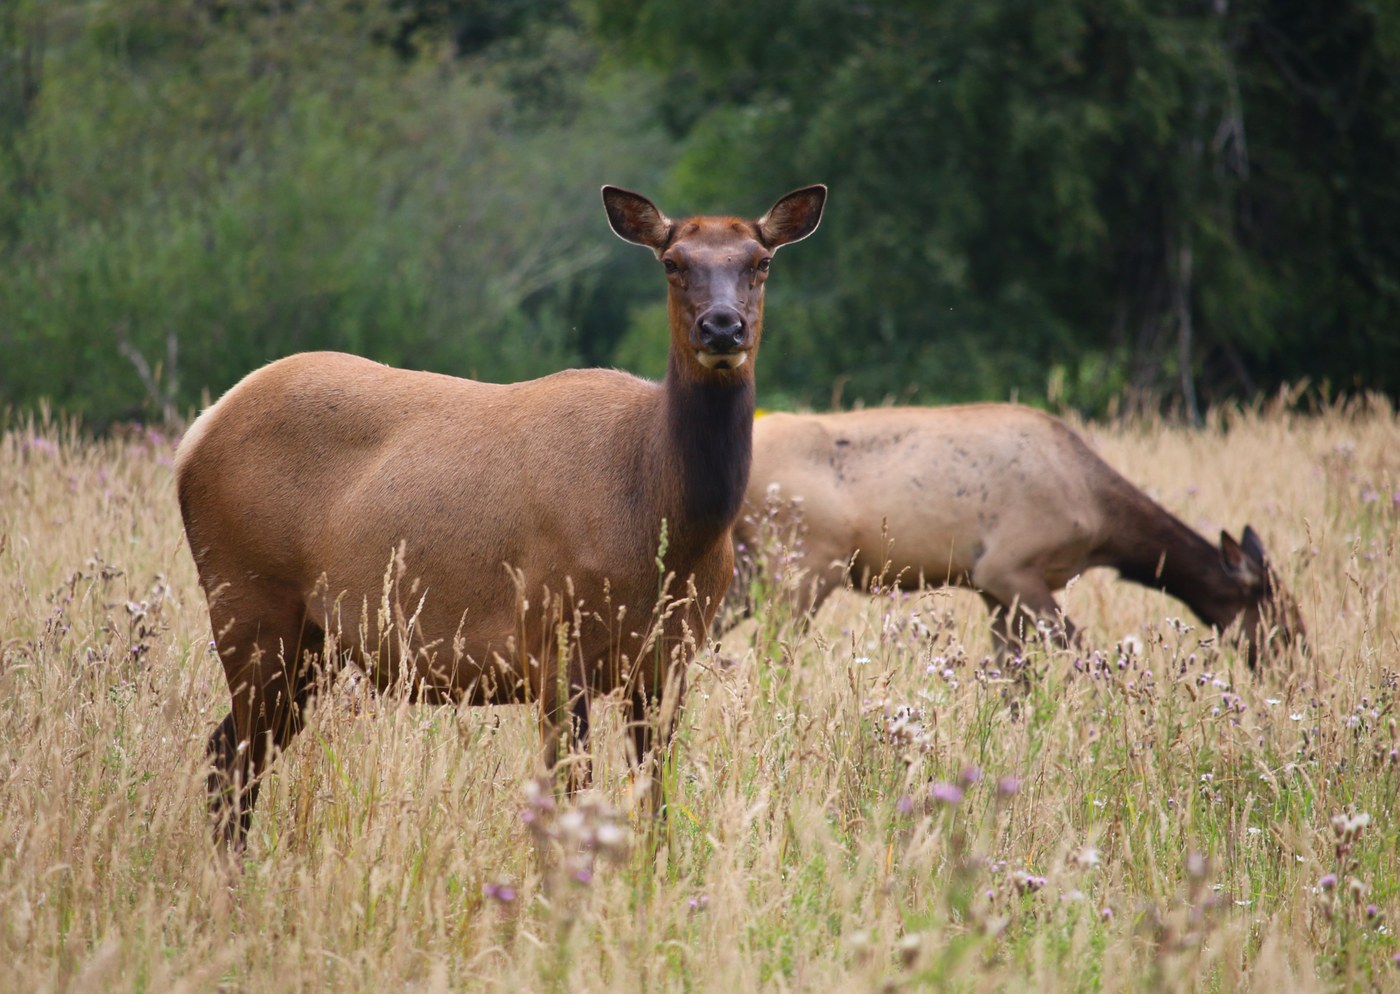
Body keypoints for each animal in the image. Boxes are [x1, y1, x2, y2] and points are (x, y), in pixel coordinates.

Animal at [176, 183, 826, 847]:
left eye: (761, 262)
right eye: (672, 263)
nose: (722, 326)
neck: (662, 524)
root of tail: (196, 435)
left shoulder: (669, 657)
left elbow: (656, 803)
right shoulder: (549, 635)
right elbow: (571, 796)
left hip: (312, 646)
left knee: (227, 752)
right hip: (249, 603)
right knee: (234, 757)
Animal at [735, 404, 1304, 665]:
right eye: (1281, 617)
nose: (1301, 670)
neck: (1101, 520)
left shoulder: (992, 590)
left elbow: (1013, 677)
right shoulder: (1008, 568)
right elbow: (1084, 653)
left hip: (747, 569)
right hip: (803, 565)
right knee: (769, 648)